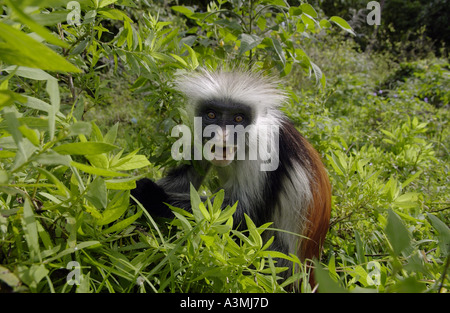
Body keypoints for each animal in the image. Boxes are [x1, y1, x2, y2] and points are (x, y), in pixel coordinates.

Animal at [130, 69, 330, 284]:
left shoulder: (263, 149)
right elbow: (186, 178)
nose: (222, 136)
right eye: (211, 114)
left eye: (238, 119)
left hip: (280, 262)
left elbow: (241, 216)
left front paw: (149, 194)